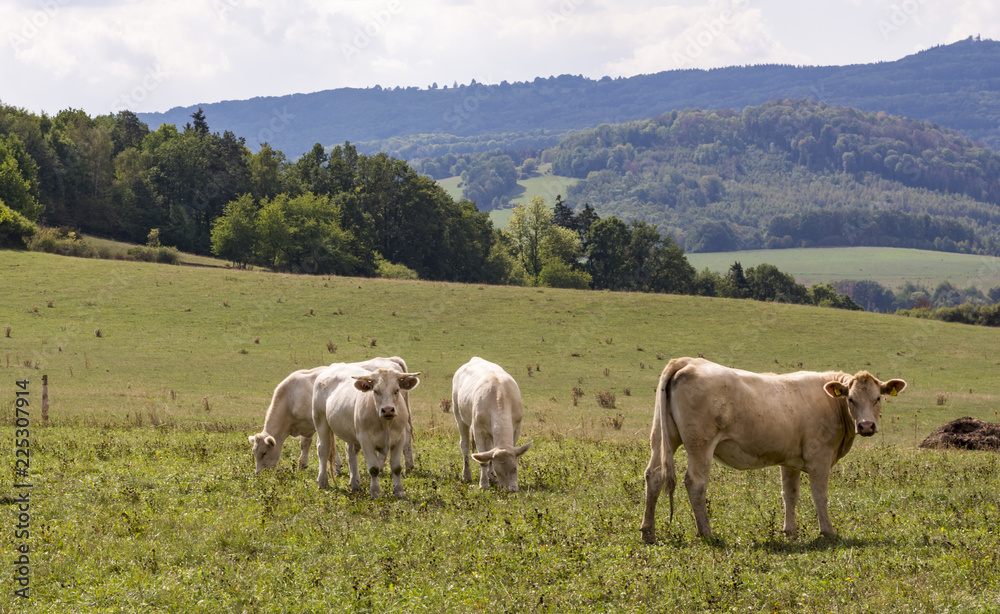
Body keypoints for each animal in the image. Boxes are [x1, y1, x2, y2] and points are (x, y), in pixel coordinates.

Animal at [314, 366, 420, 500]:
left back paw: (355, 484)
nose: (388, 410)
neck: (386, 424)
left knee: (350, 452)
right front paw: (375, 493)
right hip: (321, 421)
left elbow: (396, 467)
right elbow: (374, 468)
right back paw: (323, 482)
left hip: (351, 433)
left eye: (396, 390)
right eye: (375, 391)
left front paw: (399, 491)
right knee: (323, 449)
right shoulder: (365, 440)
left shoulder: (400, 438)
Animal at [452, 358, 532, 494]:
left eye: (515, 468)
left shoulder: (516, 428)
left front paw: (491, 477)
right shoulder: (478, 430)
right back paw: (466, 475)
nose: (511, 489)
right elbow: (483, 461)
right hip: (458, 414)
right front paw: (483, 484)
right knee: (465, 445)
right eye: (498, 471)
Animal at [640, 356, 908, 544]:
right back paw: (706, 533)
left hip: (662, 436)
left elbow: (789, 494)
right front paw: (828, 532)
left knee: (653, 475)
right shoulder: (819, 457)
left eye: (877, 398)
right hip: (700, 443)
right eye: (850, 399)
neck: (832, 405)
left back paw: (648, 532)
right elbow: (820, 495)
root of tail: (687, 361)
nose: (866, 426)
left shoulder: (790, 461)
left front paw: (790, 531)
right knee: (695, 482)